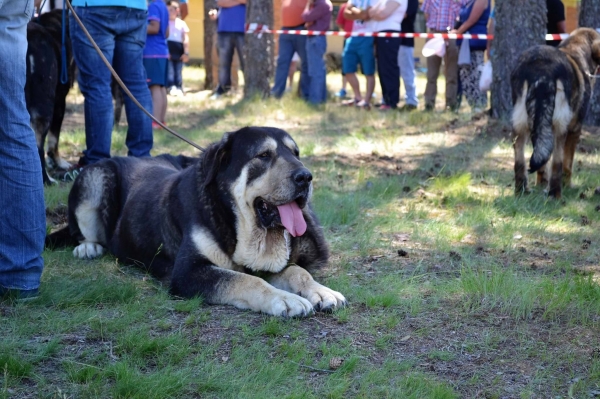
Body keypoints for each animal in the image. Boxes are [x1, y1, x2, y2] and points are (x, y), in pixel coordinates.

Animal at [47, 126, 346, 318]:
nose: (305, 177)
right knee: (80, 229)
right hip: (95, 176)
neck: (232, 218)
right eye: (263, 155)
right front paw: (284, 299)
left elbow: (297, 271)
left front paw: (320, 291)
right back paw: (89, 246)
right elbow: (247, 281)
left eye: (296, 153)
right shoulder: (188, 273)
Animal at [510, 27, 600, 199]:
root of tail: (541, 68)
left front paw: (541, 183)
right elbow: (567, 164)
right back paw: (556, 194)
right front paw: (567, 185)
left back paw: (522, 190)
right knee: (558, 162)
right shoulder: (574, 129)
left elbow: (542, 159)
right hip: (560, 128)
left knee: (519, 155)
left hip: (522, 122)